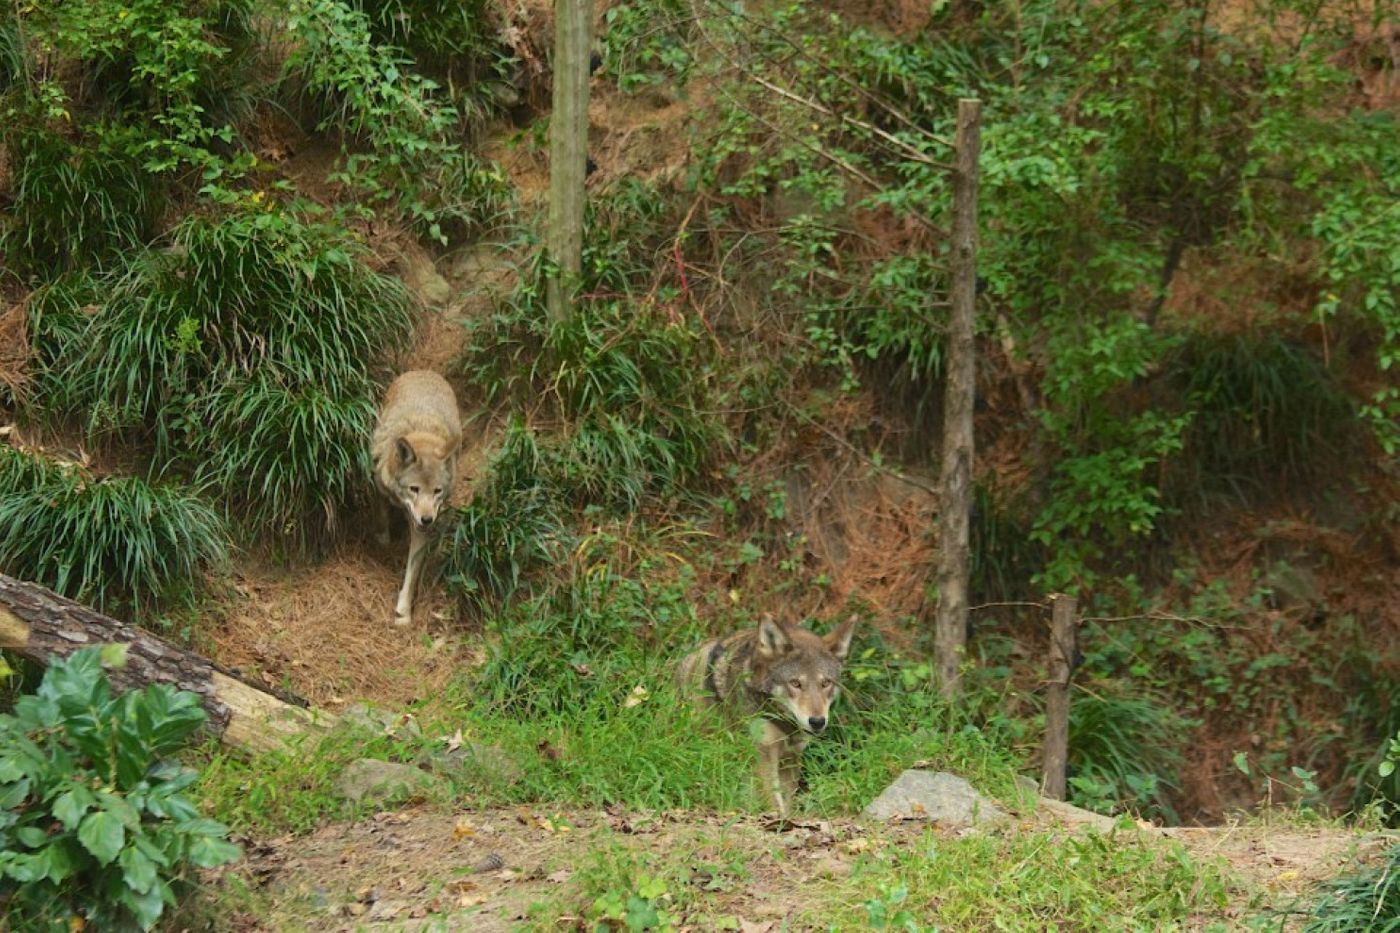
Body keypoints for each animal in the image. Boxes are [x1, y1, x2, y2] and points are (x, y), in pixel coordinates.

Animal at [369, 369, 462, 624]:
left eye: (437, 491)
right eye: (414, 489)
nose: (426, 519)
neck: (422, 433)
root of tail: (424, 371)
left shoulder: (422, 529)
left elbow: (412, 570)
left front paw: (404, 612)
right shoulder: (379, 486)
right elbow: (381, 514)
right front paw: (382, 539)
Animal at [674, 610, 856, 812]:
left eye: (825, 683)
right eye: (795, 683)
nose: (817, 721)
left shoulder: (791, 758)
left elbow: (787, 802)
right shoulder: (763, 755)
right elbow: (774, 802)